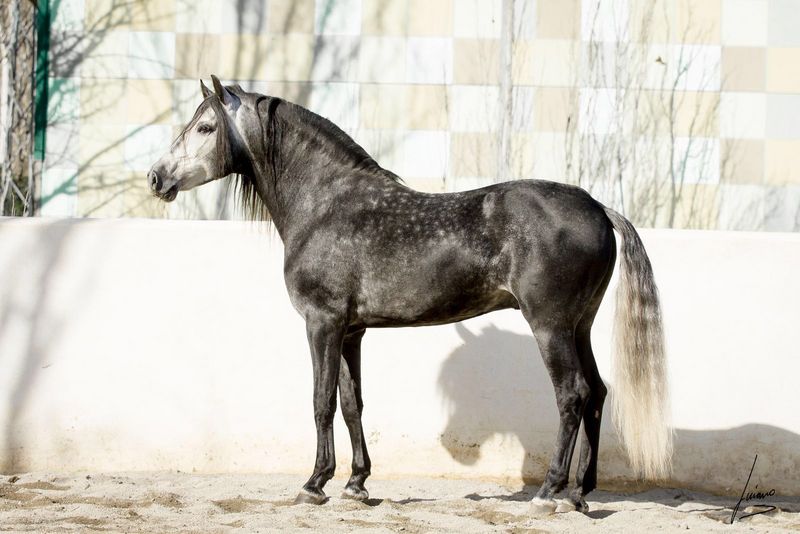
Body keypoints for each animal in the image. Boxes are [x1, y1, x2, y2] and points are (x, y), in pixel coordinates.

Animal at [148, 75, 672, 514]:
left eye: (205, 127)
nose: (157, 177)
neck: (325, 205)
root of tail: (597, 206)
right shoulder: (351, 331)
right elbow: (351, 403)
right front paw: (356, 484)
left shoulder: (322, 323)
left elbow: (320, 402)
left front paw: (314, 484)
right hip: (579, 327)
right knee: (598, 393)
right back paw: (580, 494)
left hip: (551, 327)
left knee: (572, 395)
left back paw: (548, 493)